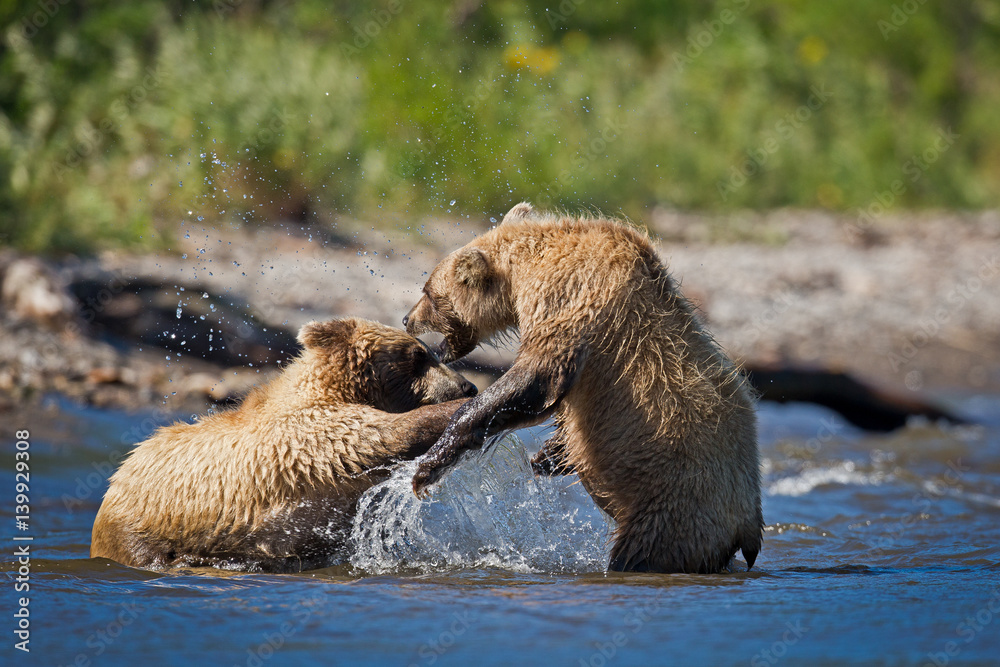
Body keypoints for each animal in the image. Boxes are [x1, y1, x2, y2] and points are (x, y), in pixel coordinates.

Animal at [90, 317, 477, 572]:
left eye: (430, 352)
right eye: (417, 354)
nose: (467, 386)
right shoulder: (313, 436)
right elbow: (387, 434)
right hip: (144, 521)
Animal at [403, 203, 763, 574]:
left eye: (428, 293)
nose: (406, 319)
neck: (526, 274)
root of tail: (747, 525)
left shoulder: (572, 297)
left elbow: (536, 378)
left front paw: (429, 465)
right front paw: (546, 457)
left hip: (678, 503)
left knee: (645, 550)